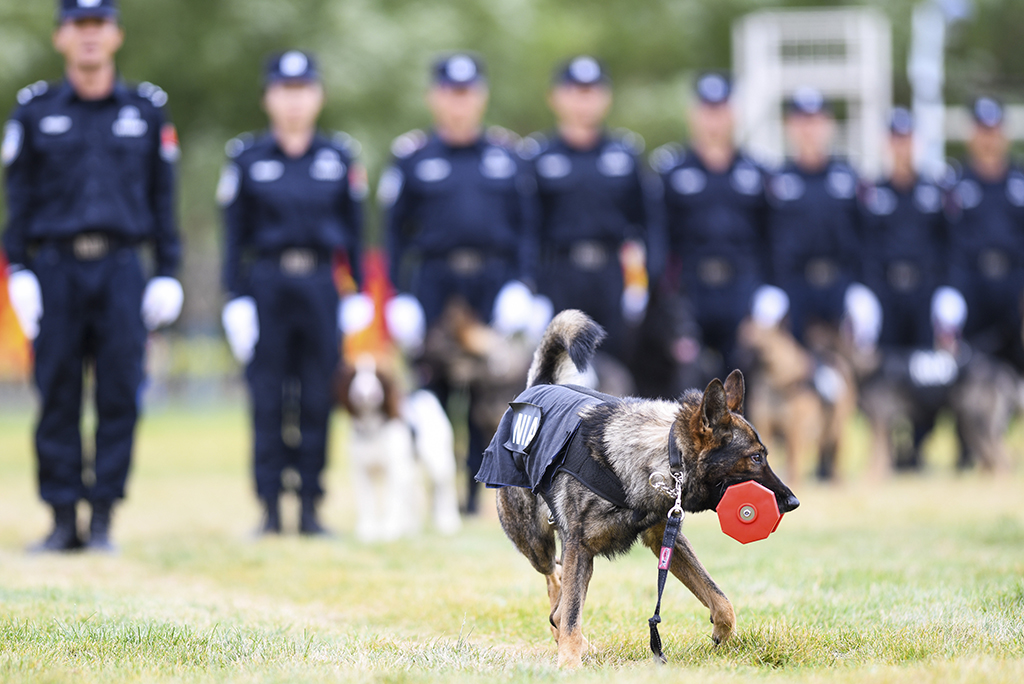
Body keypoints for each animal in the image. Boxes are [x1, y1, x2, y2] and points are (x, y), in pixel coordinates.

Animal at [487, 311, 798, 667]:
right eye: (756, 457)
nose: (793, 501)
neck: (663, 458)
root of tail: (540, 387)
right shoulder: (579, 546)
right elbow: (571, 613)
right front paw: (568, 661)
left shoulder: (665, 537)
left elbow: (720, 598)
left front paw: (722, 633)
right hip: (536, 540)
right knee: (553, 576)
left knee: (559, 584)